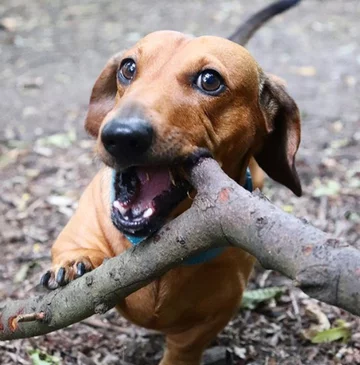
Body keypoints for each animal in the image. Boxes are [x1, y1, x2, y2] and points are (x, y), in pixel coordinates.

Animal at [41, 1, 300, 362]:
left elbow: (185, 347)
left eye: (210, 80)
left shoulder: (214, 315)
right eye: (128, 68)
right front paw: (72, 262)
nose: (121, 135)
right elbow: (71, 248)